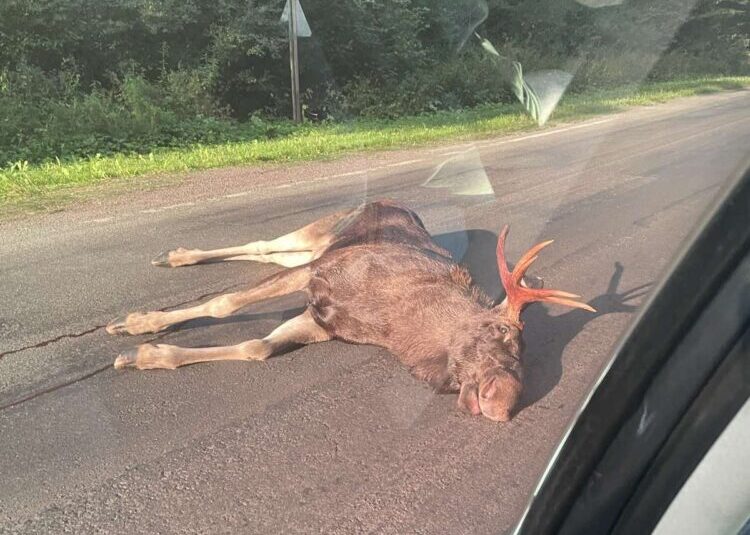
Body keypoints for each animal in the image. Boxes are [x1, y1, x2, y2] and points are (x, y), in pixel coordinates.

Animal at [108, 199, 596, 420]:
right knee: (266, 243)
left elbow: (255, 348)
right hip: (321, 235)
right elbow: (225, 303)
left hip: (316, 245)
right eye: (503, 333)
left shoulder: (321, 321)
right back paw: (175, 257)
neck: (397, 326)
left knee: (269, 252)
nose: (505, 403)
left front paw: (145, 356)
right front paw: (139, 325)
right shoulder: (319, 274)